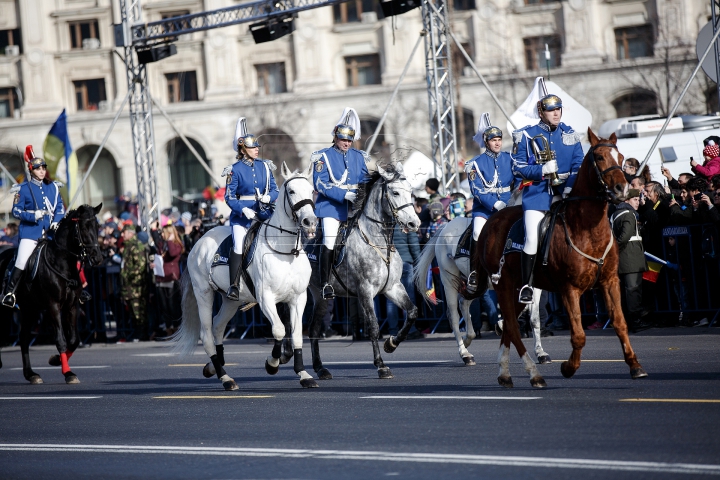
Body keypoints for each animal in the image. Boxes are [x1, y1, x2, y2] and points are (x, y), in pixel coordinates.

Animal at [0, 204, 102, 384]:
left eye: (97, 226)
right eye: (84, 227)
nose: (97, 258)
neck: (63, 264)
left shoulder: (71, 307)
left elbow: (74, 340)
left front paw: (56, 360)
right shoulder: (53, 306)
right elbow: (61, 340)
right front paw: (68, 373)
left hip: (29, 310)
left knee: (23, 337)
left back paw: (31, 374)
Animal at [172, 163, 318, 388]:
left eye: (311, 190)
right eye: (292, 191)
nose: (310, 222)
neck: (285, 252)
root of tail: (199, 242)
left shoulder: (298, 298)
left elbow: (296, 334)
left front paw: (303, 374)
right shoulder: (266, 298)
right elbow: (278, 330)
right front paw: (272, 363)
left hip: (230, 300)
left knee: (218, 327)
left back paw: (214, 366)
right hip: (204, 293)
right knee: (207, 334)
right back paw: (225, 377)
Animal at [300, 164, 420, 378]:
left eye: (411, 191)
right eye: (395, 192)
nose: (414, 224)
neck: (379, 242)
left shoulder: (393, 287)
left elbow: (412, 312)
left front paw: (391, 344)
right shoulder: (365, 291)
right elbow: (373, 326)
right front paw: (381, 365)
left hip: (321, 297)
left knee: (313, 329)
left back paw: (320, 369)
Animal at [414, 217, 548, 364]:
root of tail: (445, 227)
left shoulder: (532, 288)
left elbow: (534, 318)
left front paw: (540, 352)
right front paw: (502, 325)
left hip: (476, 285)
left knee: (464, 303)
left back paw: (468, 338)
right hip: (449, 280)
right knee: (454, 316)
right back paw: (465, 354)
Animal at [472, 129, 648, 388]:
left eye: (621, 156)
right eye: (599, 157)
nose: (622, 189)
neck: (587, 228)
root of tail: (491, 222)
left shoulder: (610, 282)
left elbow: (620, 323)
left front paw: (635, 365)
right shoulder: (569, 289)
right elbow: (579, 335)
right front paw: (568, 367)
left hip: (518, 289)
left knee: (508, 326)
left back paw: (504, 373)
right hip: (503, 284)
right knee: (512, 326)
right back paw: (534, 373)